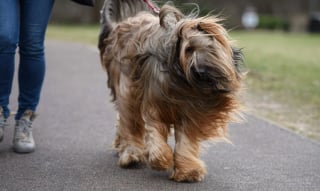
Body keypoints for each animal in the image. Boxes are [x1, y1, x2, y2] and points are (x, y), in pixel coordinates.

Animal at [99, 0, 244, 182]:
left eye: (211, 49)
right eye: (188, 50)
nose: (201, 71)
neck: (183, 83)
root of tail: (120, 25)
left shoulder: (191, 111)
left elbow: (186, 139)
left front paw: (188, 171)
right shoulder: (154, 101)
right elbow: (154, 128)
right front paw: (160, 158)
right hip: (127, 85)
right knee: (129, 120)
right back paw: (131, 155)